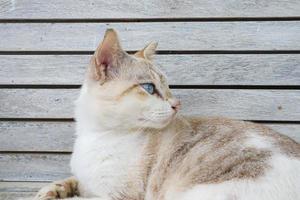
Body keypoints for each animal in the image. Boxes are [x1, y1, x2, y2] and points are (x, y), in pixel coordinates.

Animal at [34, 28, 300, 200]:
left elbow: (85, 197)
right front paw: (51, 191)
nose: (177, 104)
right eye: (150, 88)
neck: (96, 136)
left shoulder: (115, 197)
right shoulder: (87, 182)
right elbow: (71, 181)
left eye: (167, 86)